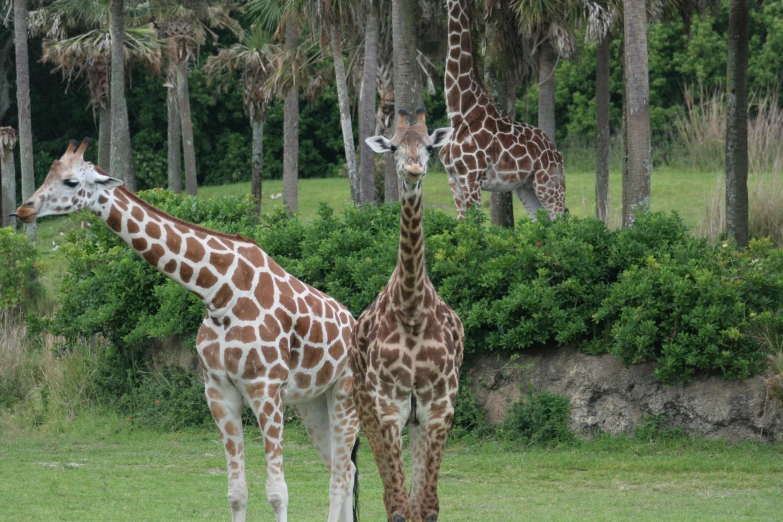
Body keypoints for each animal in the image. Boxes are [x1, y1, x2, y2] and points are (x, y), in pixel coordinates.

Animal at [10, 138, 360, 520]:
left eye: (71, 182)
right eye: (48, 174)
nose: (23, 210)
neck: (219, 294)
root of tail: (355, 322)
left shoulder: (265, 389)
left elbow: (277, 492)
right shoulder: (219, 392)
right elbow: (237, 492)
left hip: (345, 395)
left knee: (341, 474)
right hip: (310, 401)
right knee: (344, 468)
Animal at [356, 106, 462, 520]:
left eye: (430, 147)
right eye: (394, 147)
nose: (414, 169)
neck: (412, 309)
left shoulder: (439, 408)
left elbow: (426, 506)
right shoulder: (387, 407)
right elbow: (400, 506)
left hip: (417, 422)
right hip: (364, 408)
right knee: (388, 494)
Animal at [438, 0, 568, 220]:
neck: (460, 113)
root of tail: (557, 153)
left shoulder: (471, 178)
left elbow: (475, 225)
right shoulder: (453, 182)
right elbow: (461, 224)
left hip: (549, 183)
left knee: (562, 220)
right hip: (525, 188)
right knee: (541, 222)